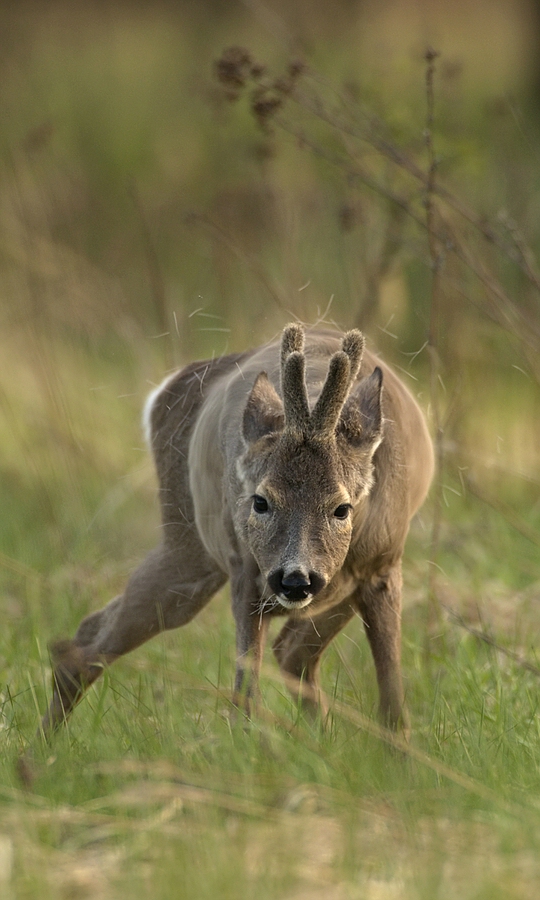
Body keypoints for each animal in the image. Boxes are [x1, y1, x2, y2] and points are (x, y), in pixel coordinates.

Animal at [44, 326, 434, 736]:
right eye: (260, 501)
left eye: (342, 508)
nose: (295, 579)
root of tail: (168, 389)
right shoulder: (245, 568)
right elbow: (244, 697)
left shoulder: (383, 564)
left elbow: (392, 701)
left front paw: (400, 752)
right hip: (189, 543)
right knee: (90, 639)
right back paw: (43, 743)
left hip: (330, 585)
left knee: (291, 650)